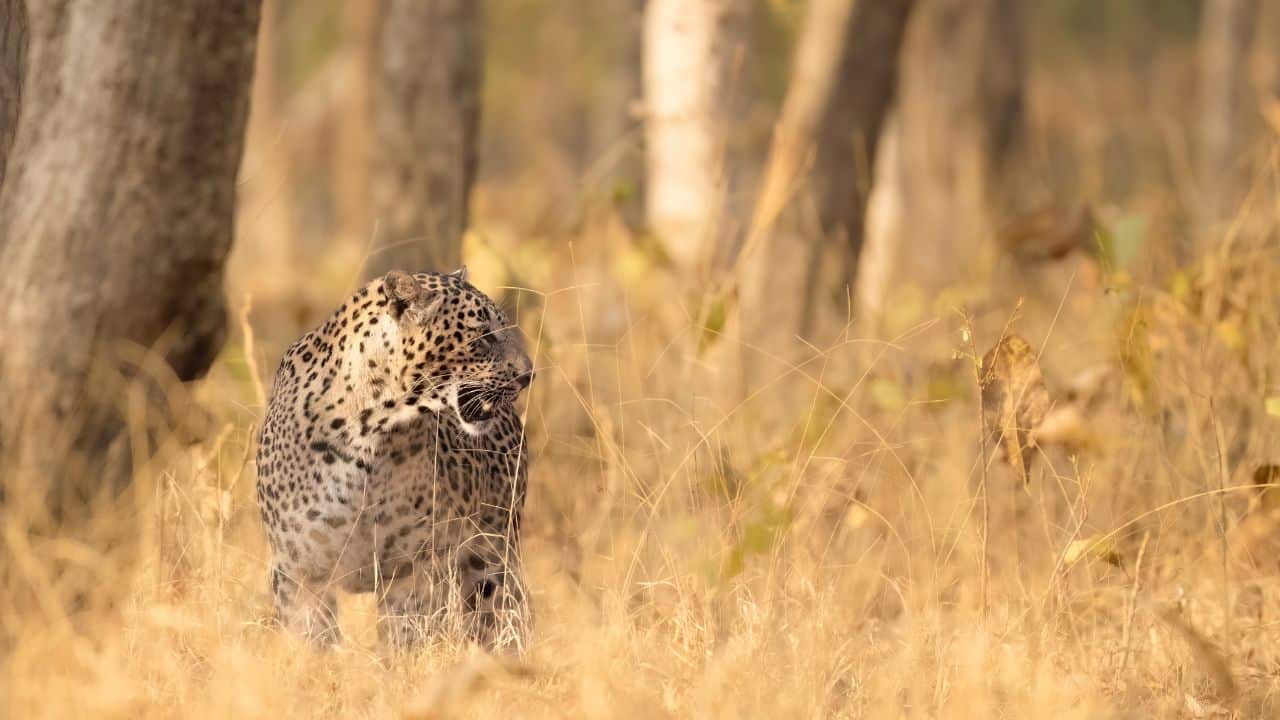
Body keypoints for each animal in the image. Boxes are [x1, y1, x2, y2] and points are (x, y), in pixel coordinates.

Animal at [255, 267, 534, 651]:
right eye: (484, 335)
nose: (529, 374)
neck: (369, 434)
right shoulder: (299, 572)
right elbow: (314, 641)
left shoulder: (412, 569)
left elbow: (406, 639)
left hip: (493, 555)